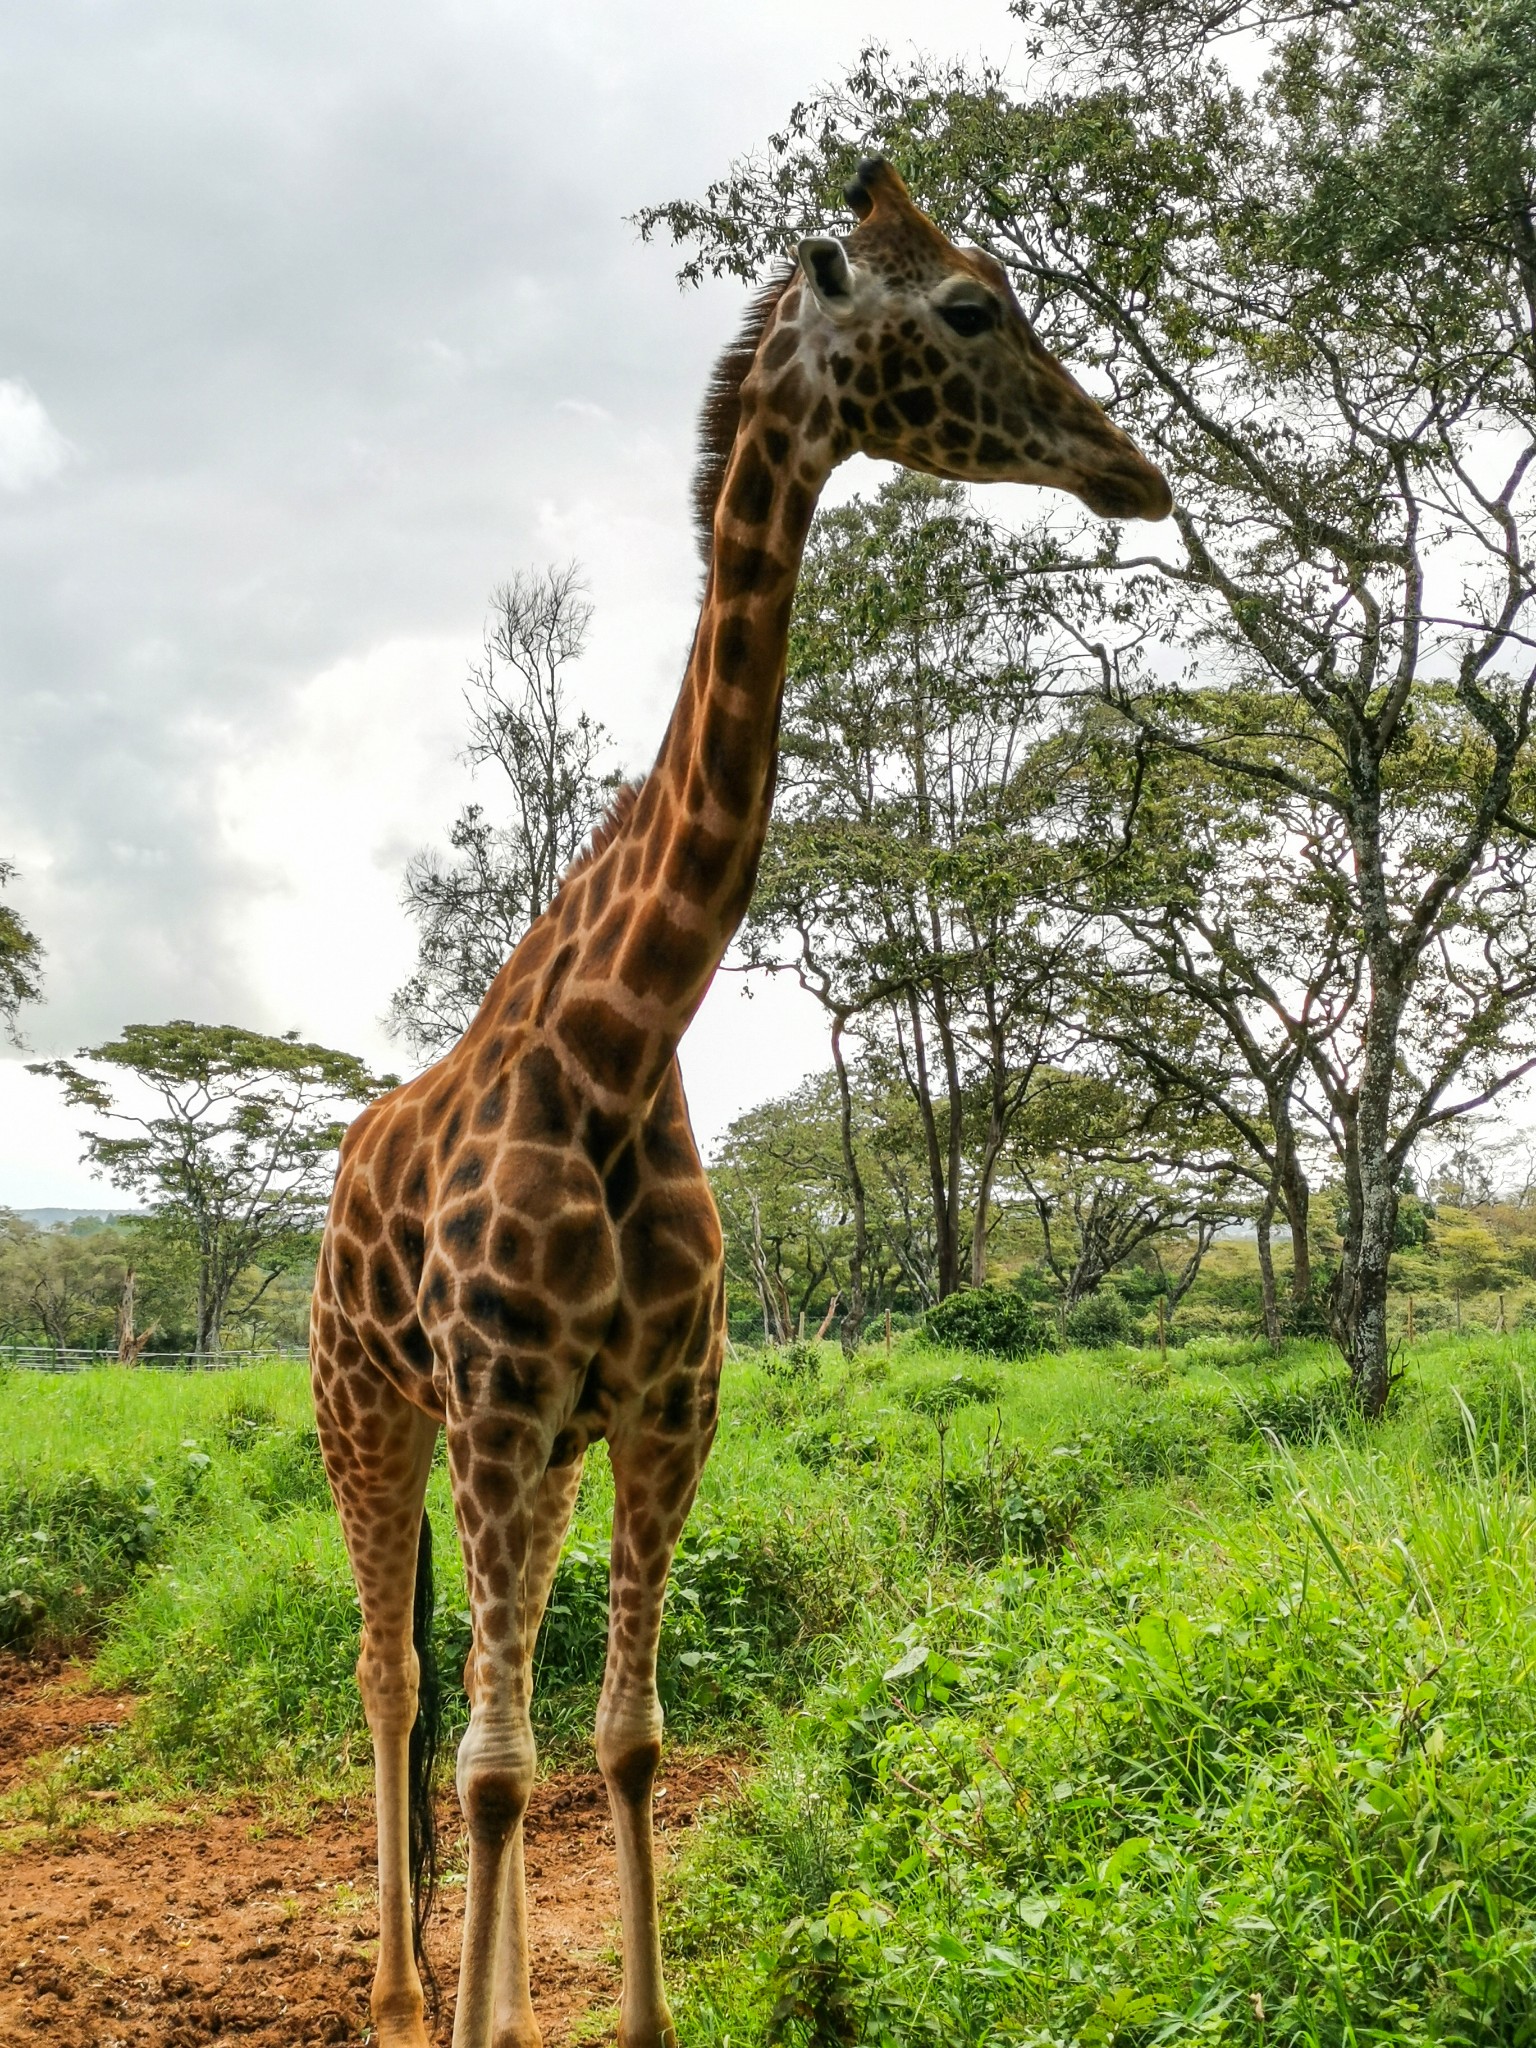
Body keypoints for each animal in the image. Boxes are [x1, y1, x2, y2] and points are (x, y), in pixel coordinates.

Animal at [313, 155, 1171, 2048]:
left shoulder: (661, 1411)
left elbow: (619, 1738)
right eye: (968, 307)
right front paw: (476, 2012)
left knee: (473, 1688)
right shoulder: (500, 1405)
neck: (626, 1034)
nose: (1132, 469)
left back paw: (479, 1988)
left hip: (525, 1452)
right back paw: (404, 1982)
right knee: (398, 1675)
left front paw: (617, 2017)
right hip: (370, 1405)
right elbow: (496, 1763)